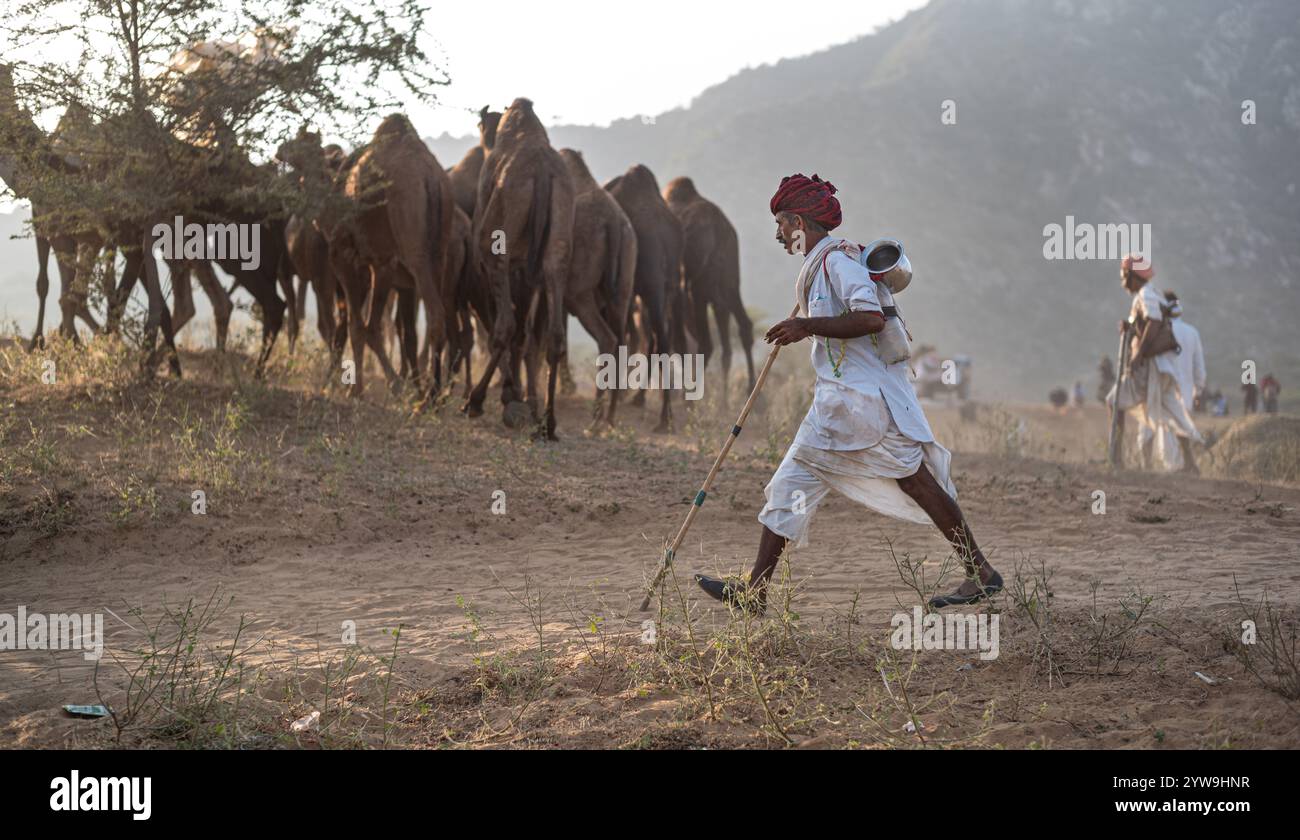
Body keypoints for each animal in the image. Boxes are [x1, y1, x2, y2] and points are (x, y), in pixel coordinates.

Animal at [464, 98, 575, 440]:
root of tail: (541, 173)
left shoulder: (491, 263)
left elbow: (499, 326)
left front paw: (509, 395)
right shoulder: (529, 273)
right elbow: (526, 335)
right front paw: (521, 399)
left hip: (496, 249)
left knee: (503, 325)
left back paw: (474, 401)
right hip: (555, 249)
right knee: (552, 335)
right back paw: (548, 422)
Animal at [558, 149, 636, 427]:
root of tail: (612, 223)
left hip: (579, 291)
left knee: (606, 337)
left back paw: (594, 420)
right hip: (624, 282)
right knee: (621, 341)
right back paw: (608, 417)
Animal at [663, 176, 755, 405]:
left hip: (697, 288)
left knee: (705, 344)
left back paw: (692, 399)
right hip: (728, 279)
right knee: (741, 327)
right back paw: (739, 395)